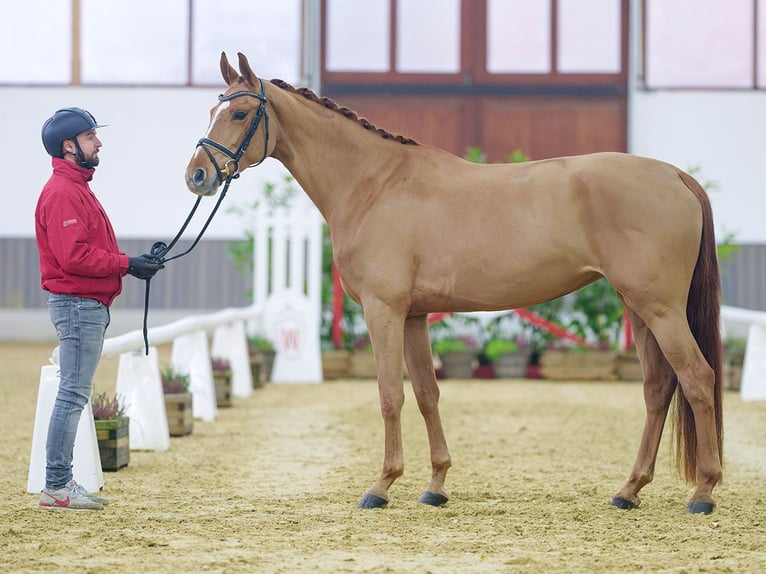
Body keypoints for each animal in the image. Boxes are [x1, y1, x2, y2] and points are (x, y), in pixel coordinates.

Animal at [186, 51, 728, 516]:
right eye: (213, 109)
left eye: (239, 114)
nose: (197, 176)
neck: (375, 185)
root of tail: (676, 176)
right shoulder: (414, 315)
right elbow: (427, 394)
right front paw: (435, 486)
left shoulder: (383, 311)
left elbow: (390, 395)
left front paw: (381, 486)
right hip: (639, 308)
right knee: (658, 388)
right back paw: (629, 490)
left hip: (660, 310)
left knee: (697, 379)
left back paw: (703, 492)